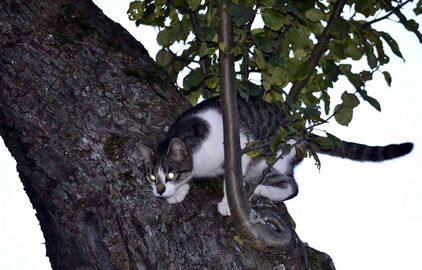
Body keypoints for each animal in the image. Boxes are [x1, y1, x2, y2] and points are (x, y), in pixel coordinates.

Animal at [137, 96, 414, 216]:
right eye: (151, 177)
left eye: (170, 174)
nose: (160, 191)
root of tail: (296, 129)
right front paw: (179, 193)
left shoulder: (239, 148)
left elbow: (230, 179)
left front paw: (227, 203)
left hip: (270, 159)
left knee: (292, 187)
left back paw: (258, 190)